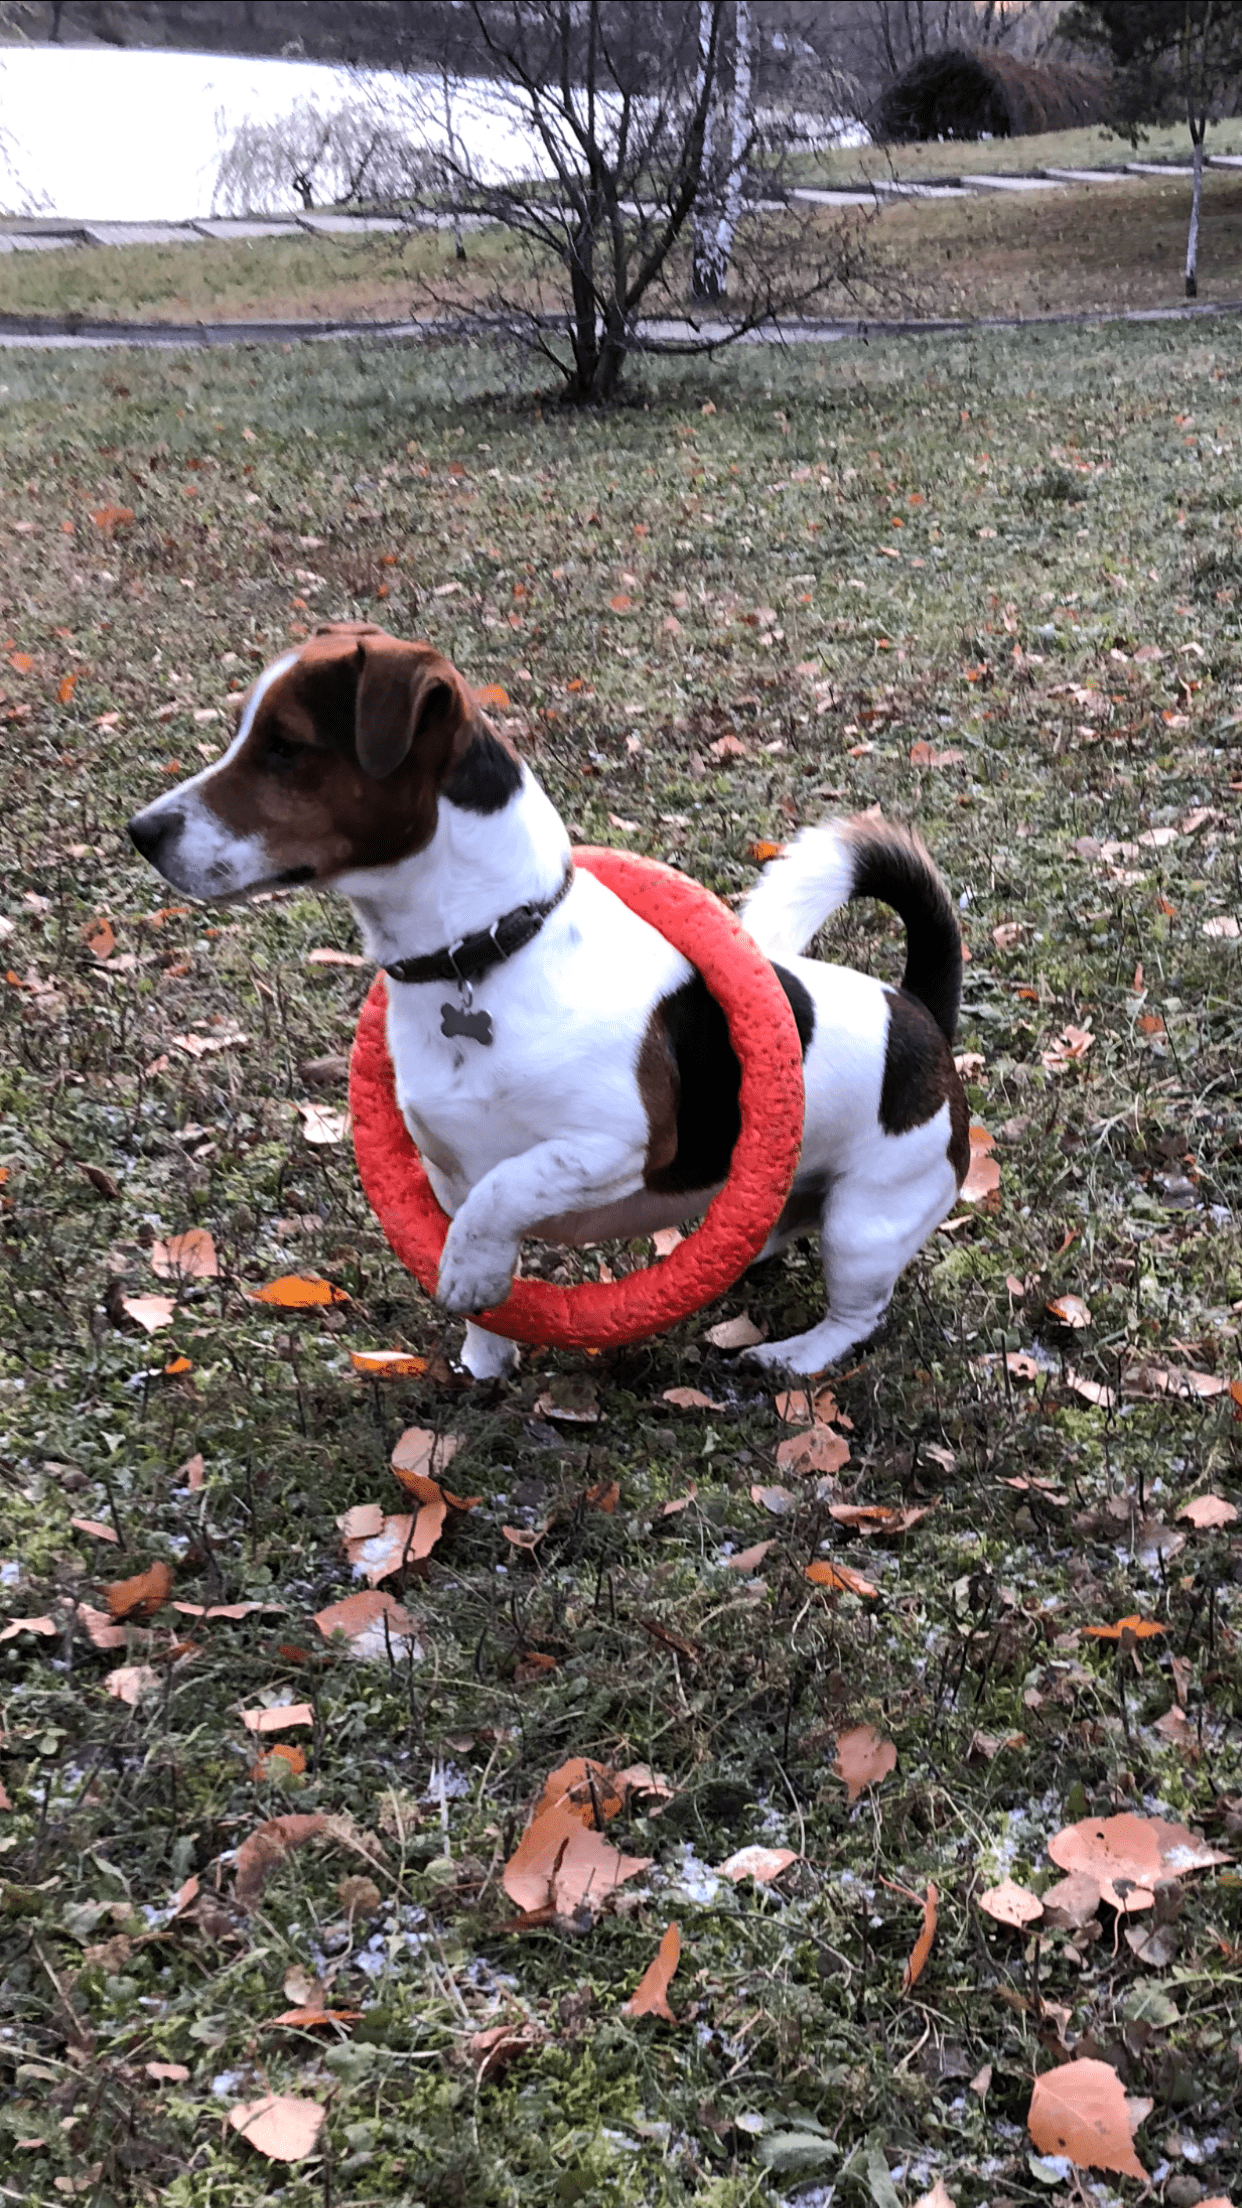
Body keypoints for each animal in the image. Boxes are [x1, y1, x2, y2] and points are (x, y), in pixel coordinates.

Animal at [133, 622, 967, 1368]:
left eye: (284, 746)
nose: (140, 830)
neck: (484, 956)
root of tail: (918, 1010)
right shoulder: (445, 1172)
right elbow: (477, 1235)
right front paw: (484, 1357)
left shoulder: (613, 1144)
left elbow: (503, 1193)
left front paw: (471, 1276)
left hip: (866, 1224)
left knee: (858, 1315)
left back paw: (796, 1356)